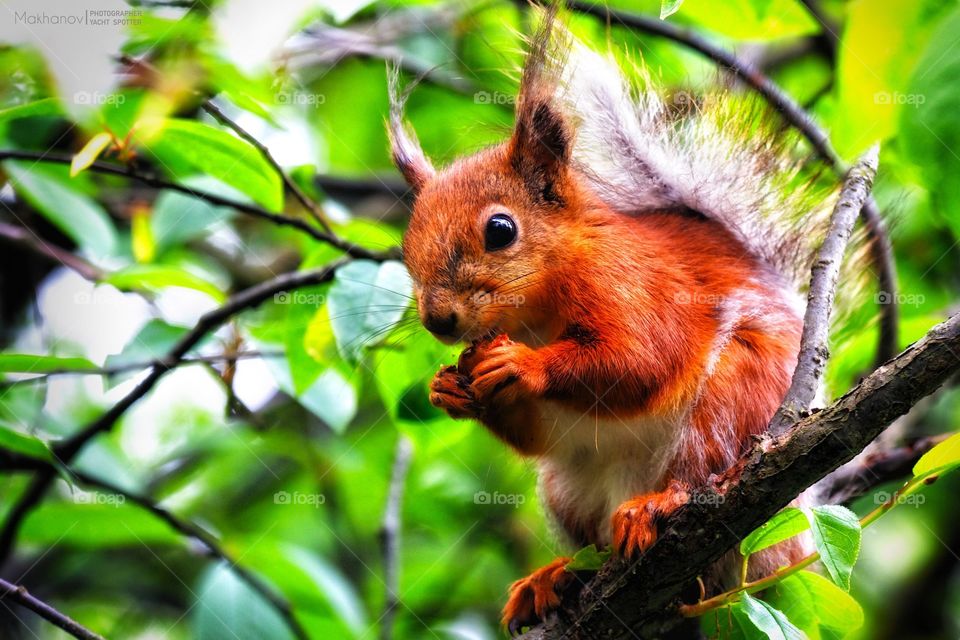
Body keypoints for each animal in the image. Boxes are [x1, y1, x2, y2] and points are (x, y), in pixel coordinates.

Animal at [388, 9, 839, 635]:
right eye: (406, 249)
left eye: (500, 230)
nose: (438, 321)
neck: (537, 314)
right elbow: (536, 433)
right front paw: (448, 388)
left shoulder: (637, 288)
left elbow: (641, 360)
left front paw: (522, 365)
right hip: (567, 492)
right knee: (592, 545)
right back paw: (554, 578)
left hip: (734, 401)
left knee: (703, 469)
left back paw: (658, 505)